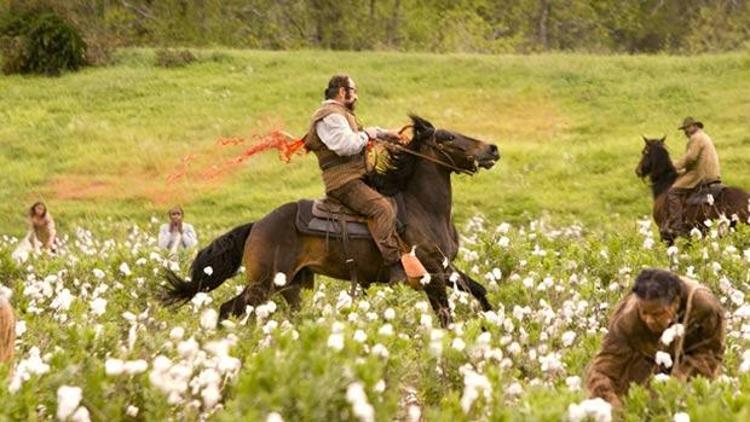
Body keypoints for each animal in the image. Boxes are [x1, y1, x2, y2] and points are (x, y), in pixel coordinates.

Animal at [165, 115, 506, 326]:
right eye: (447, 137)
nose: (492, 149)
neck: (423, 208)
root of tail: (257, 225)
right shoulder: (433, 274)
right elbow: (448, 316)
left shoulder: (446, 269)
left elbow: (479, 290)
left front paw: (494, 325)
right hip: (263, 284)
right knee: (229, 309)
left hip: (291, 286)